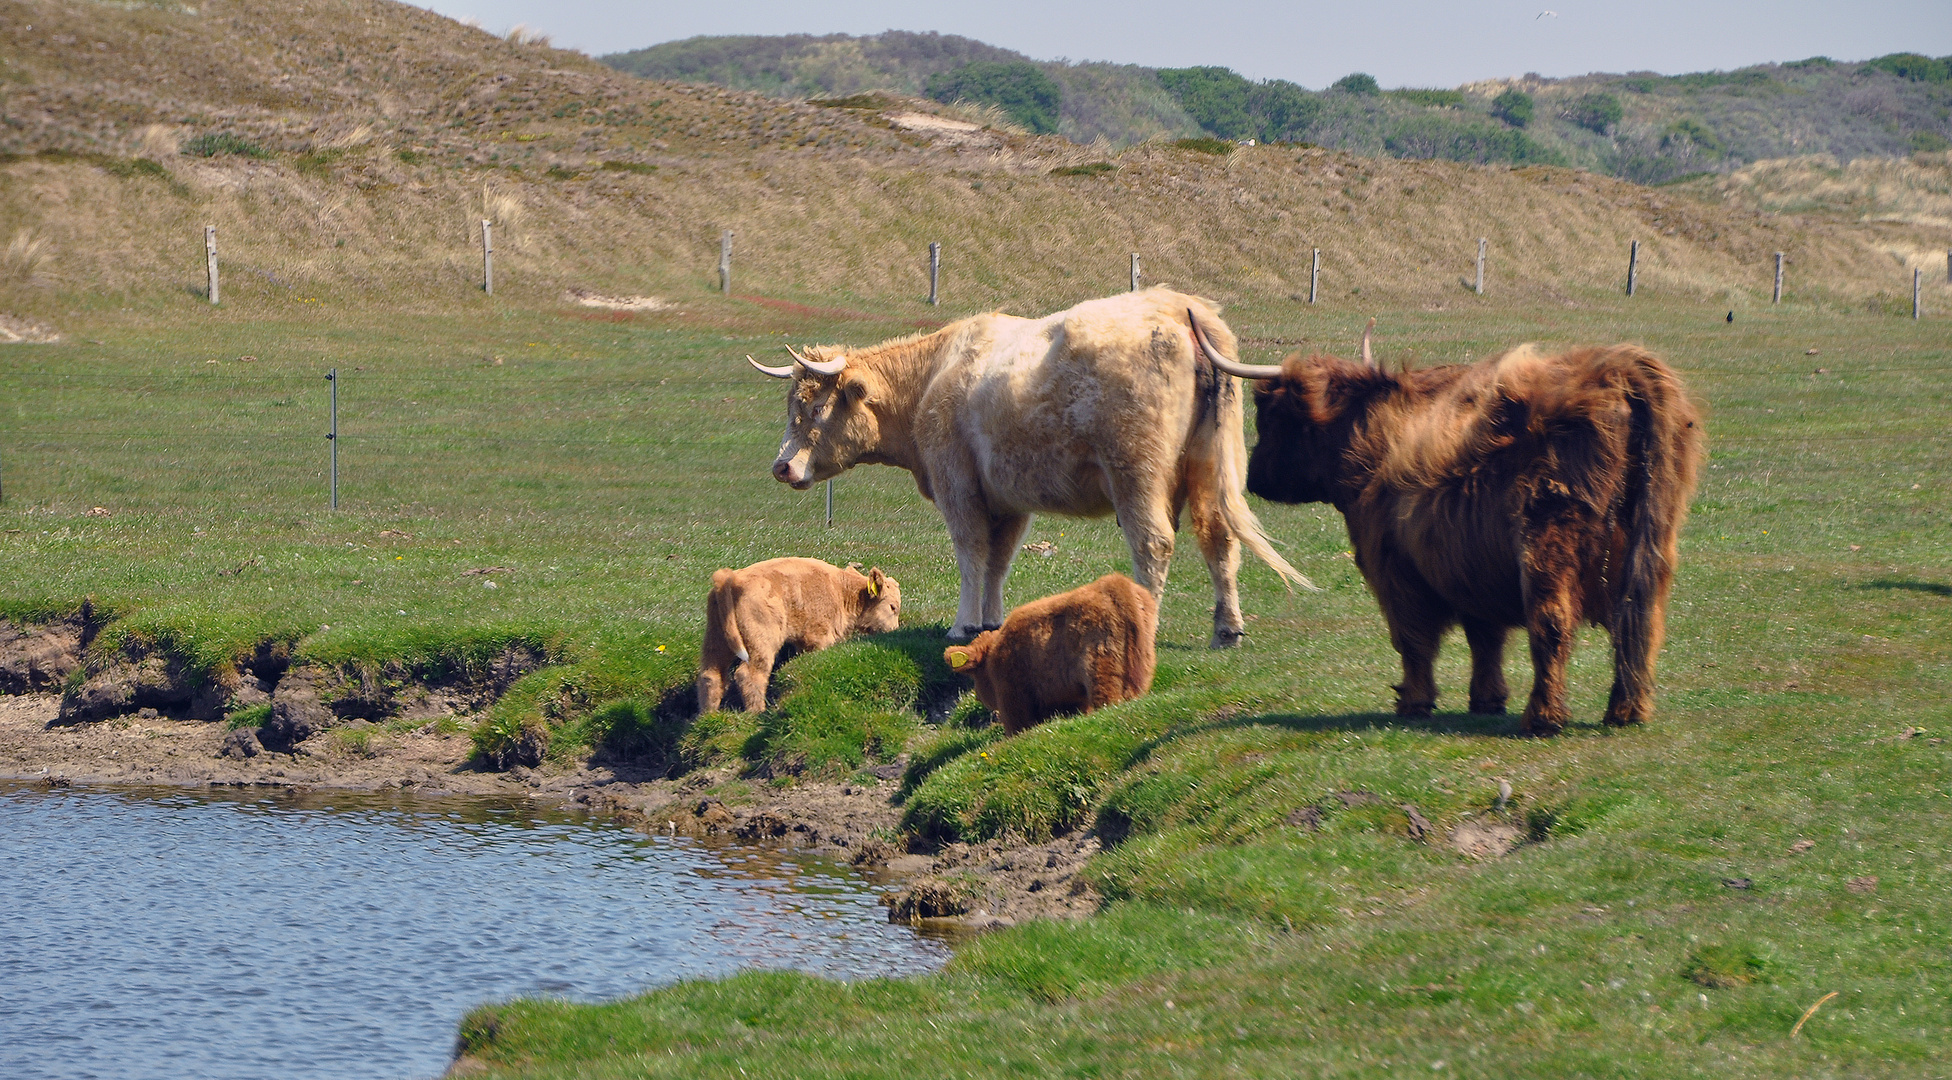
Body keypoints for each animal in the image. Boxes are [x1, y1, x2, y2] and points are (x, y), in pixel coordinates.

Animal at [698, 554, 901, 714]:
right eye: (893, 607)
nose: (894, 631)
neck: (840, 591)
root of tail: (730, 578)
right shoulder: (818, 637)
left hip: (717, 638)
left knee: (711, 675)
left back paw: (708, 716)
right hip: (760, 642)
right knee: (749, 674)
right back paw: (756, 712)